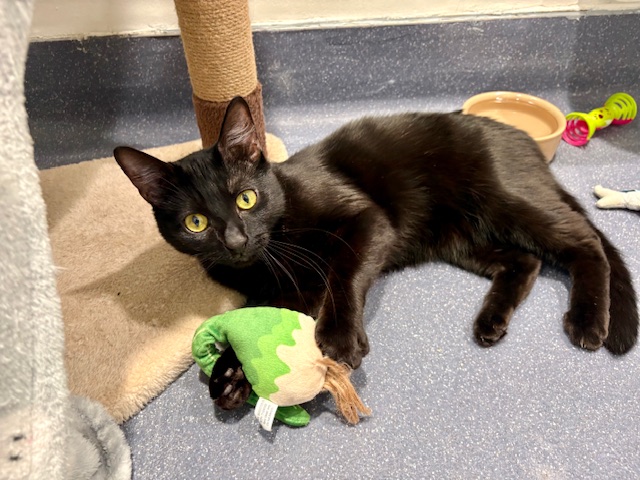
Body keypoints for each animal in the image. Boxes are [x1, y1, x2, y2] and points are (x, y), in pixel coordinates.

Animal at [114, 97, 638, 409]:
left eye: (246, 198)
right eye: (196, 223)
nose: (236, 242)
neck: (273, 247)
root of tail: (522, 141)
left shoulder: (367, 221)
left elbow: (344, 272)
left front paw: (339, 337)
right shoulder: (291, 287)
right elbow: (260, 318)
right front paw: (230, 372)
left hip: (506, 201)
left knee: (584, 242)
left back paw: (589, 320)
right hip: (460, 237)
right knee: (525, 261)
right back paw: (491, 322)